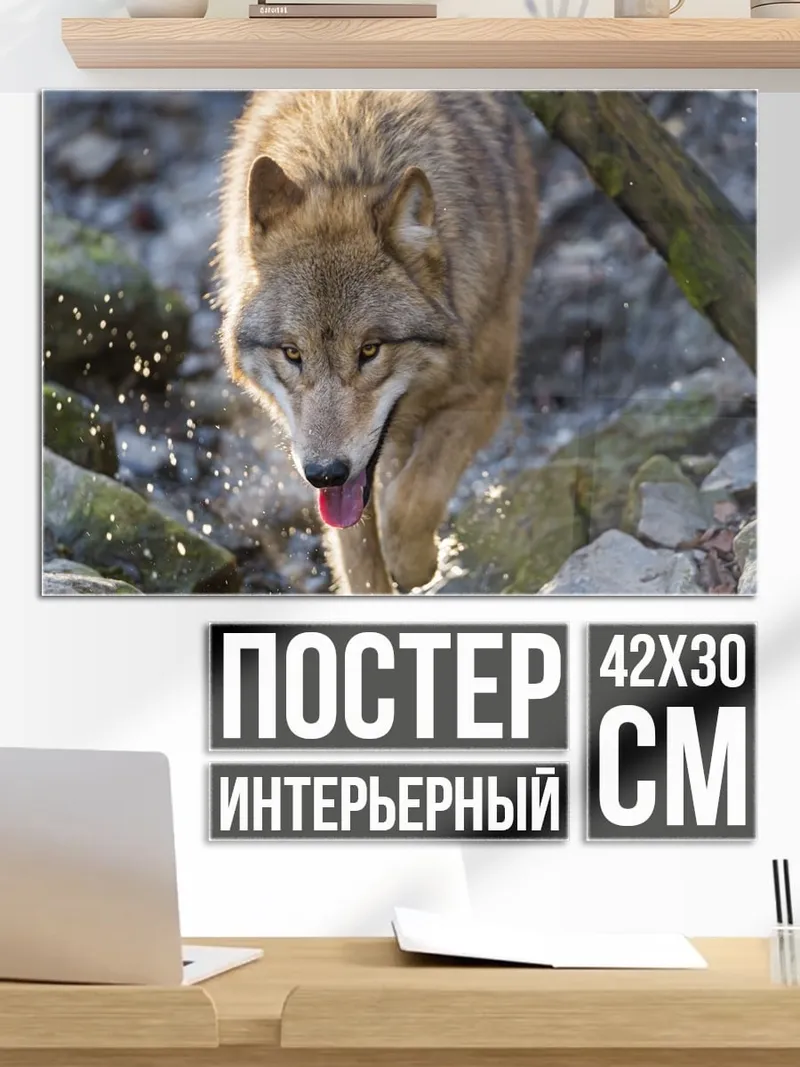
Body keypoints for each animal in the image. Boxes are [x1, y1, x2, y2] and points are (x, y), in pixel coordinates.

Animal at [218, 91, 538, 594]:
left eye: (369, 350)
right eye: (293, 354)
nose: (324, 473)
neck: (348, 164)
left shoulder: (485, 392)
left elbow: (414, 498)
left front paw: (416, 563)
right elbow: (359, 555)